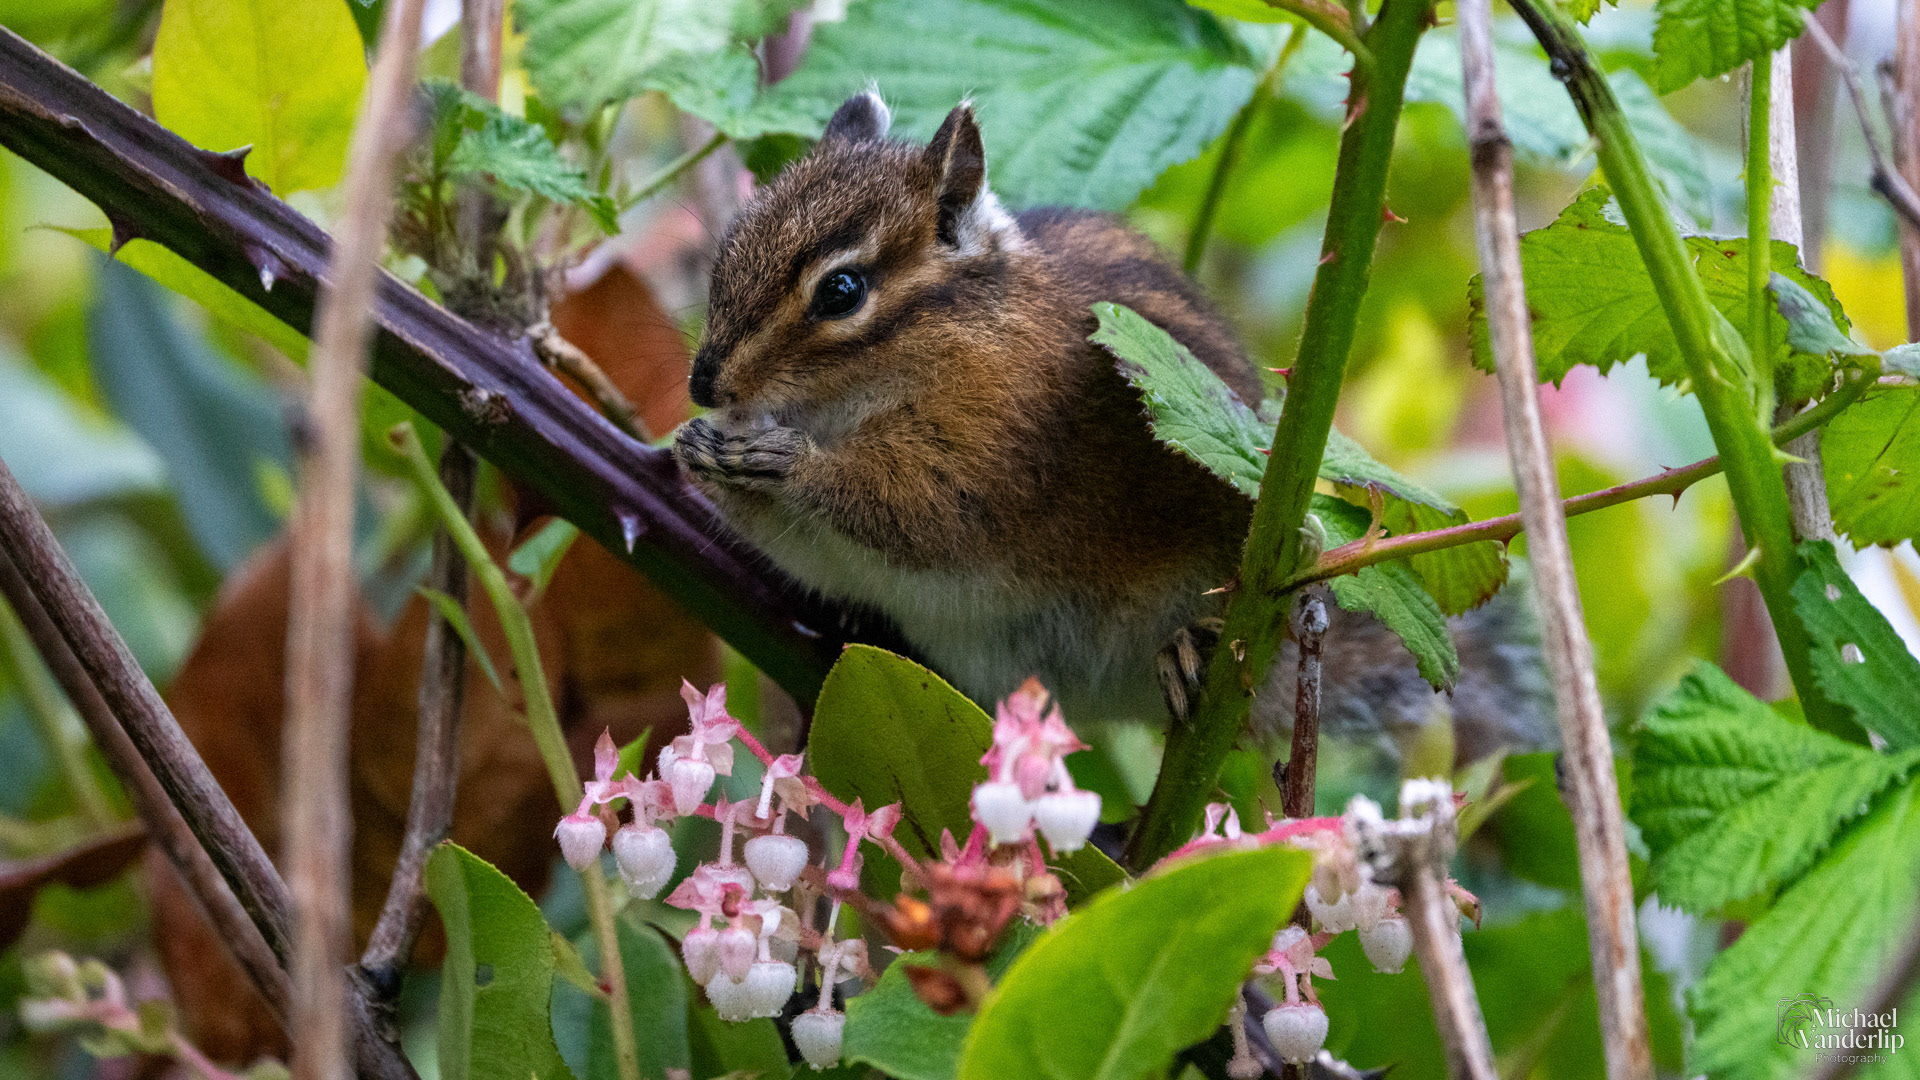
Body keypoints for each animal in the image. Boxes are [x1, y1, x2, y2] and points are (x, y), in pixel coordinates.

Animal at [672, 91, 1550, 762]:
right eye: (728, 247)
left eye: (842, 291)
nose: (702, 383)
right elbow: (813, 552)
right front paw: (697, 448)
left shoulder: (998, 445)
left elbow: (914, 507)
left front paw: (782, 459)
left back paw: (1190, 645)